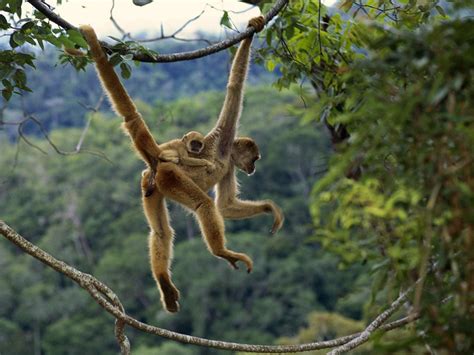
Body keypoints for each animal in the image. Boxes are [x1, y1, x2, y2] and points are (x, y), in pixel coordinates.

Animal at [80, 16, 284, 314]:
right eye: (255, 158)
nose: (254, 168)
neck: (226, 155)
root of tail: (157, 160)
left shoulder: (229, 167)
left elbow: (226, 206)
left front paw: (269, 208)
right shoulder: (225, 137)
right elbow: (235, 87)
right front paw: (253, 28)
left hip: (152, 185)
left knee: (161, 232)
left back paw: (164, 282)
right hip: (171, 177)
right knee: (203, 205)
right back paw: (222, 252)